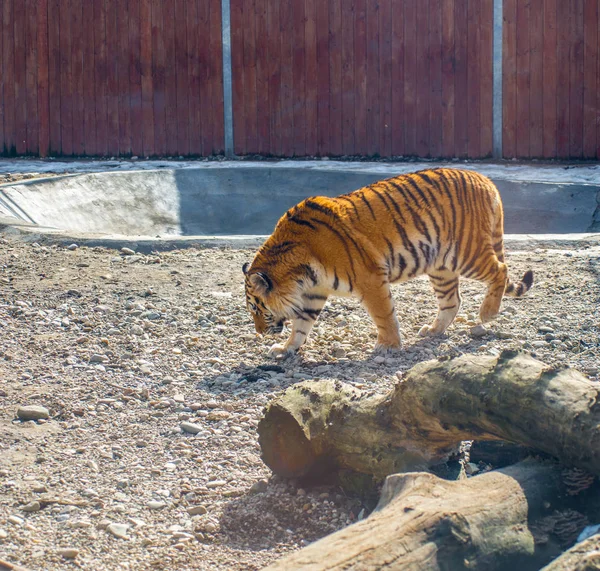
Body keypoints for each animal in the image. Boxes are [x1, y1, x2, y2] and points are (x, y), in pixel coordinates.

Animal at [241, 168, 532, 360]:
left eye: (257, 308)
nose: (259, 333)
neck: (299, 276)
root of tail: (484, 178)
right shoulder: (313, 294)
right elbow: (301, 325)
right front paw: (286, 348)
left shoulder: (370, 278)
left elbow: (383, 314)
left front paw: (389, 345)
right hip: (441, 267)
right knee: (452, 301)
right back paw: (433, 330)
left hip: (466, 253)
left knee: (501, 271)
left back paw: (488, 313)